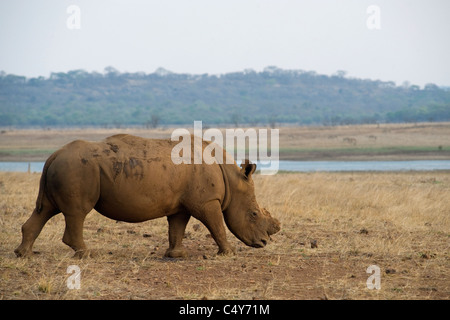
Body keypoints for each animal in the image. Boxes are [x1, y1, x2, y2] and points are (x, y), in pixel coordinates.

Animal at [14, 134, 280, 258]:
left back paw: (23, 254)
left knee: (46, 209)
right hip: (77, 169)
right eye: (254, 214)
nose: (264, 243)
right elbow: (217, 226)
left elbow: (177, 228)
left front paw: (176, 255)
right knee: (76, 213)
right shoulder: (206, 201)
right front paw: (228, 253)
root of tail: (54, 155)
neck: (232, 179)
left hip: (66, 167)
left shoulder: (182, 204)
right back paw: (87, 254)